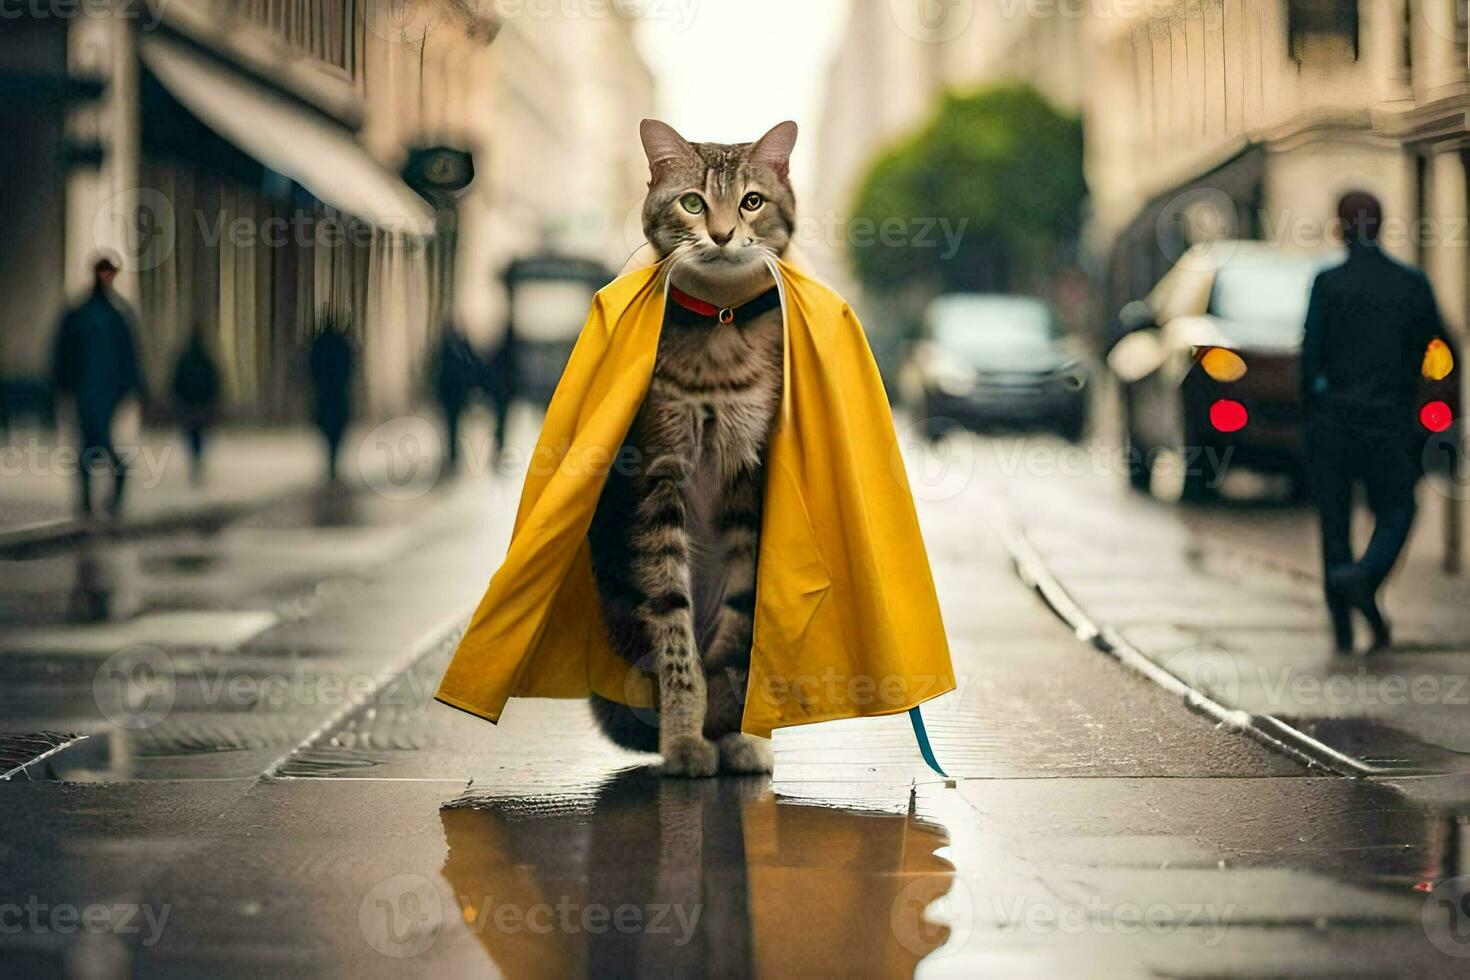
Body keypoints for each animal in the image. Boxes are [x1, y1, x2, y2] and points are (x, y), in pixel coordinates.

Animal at [585, 116, 799, 775]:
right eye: (693, 203)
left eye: (751, 201)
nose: (723, 233)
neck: (719, 328)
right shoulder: (659, 473)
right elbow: (674, 632)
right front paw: (684, 737)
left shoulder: (748, 481)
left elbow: (739, 624)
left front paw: (734, 730)